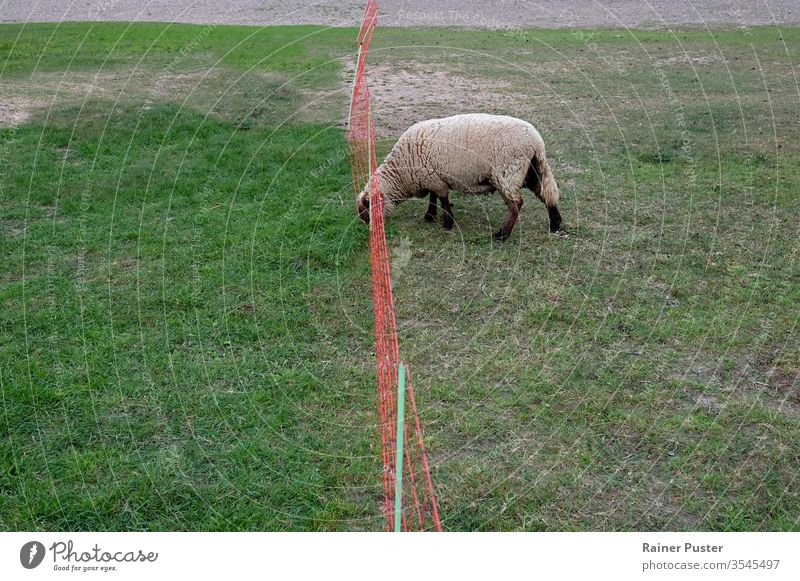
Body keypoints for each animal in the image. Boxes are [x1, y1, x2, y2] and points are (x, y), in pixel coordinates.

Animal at [356, 113, 564, 240]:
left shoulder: (435, 179)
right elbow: (433, 198)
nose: (368, 230)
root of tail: (536, 142)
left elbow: (442, 199)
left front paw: (447, 223)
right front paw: (430, 216)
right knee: (546, 195)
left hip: (507, 172)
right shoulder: (433, 177)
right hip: (530, 171)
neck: (401, 173)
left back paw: (501, 235)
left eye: (367, 209)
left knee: (516, 204)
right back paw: (555, 225)